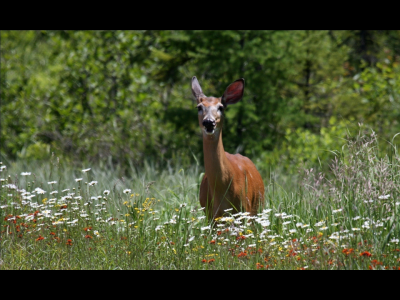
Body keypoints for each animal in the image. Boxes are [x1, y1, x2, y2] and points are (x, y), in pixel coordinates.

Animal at [191, 75, 264, 220]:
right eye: (199, 107)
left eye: (221, 107)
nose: (209, 122)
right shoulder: (211, 215)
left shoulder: (244, 210)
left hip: (257, 208)